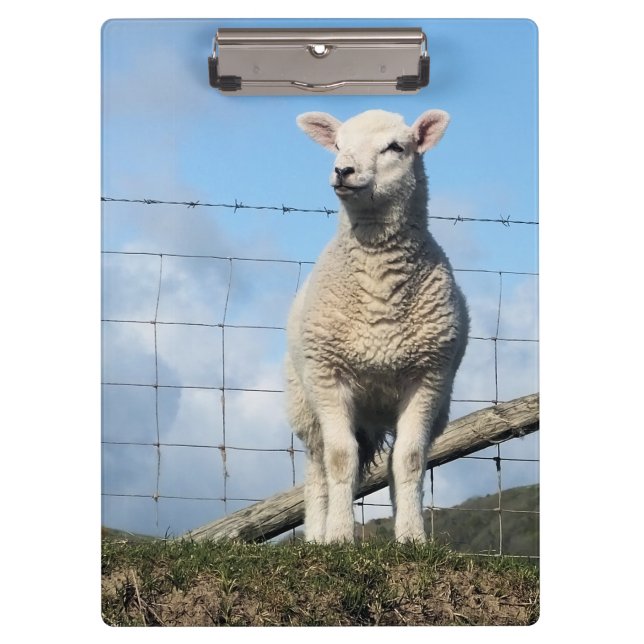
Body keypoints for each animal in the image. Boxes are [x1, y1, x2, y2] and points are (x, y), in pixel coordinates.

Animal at [285, 109, 469, 543]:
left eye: (395, 147)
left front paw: (413, 538)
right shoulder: (328, 375)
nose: (343, 170)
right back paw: (316, 535)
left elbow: (411, 460)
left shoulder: (428, 378)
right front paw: (338, 537)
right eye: (337, 144)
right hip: (305, 403)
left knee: (392, 462)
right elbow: (339, 459)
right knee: (317, 468)